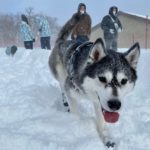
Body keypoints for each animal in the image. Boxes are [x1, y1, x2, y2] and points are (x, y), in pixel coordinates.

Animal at [48, 16, 140, 148]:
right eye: (102, 78)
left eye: (123, 81)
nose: (115, 105)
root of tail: (61, 42)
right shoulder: (71, 92)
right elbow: (75, 114)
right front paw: (76, 127)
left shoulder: (98, 102)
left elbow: (101, 120)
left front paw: (106, 138)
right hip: (61, 75)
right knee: (61, 86)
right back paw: (64, 101)